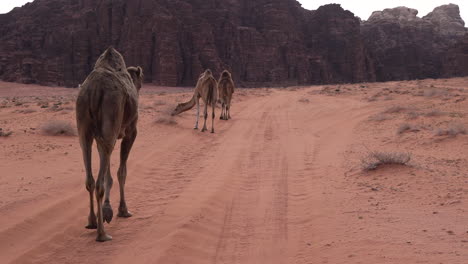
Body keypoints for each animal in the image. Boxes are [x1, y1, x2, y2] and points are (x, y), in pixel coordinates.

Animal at [75, 47, 144, 241]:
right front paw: (122, 210)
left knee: (90, 178)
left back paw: (92, 221)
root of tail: (94, 90)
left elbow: (108, 173)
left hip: (84, 126)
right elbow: (122, 172)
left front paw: (106, 211)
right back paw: (102, 234)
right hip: (111, 115)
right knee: (99, 183)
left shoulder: (102, 136)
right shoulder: (131, 132)